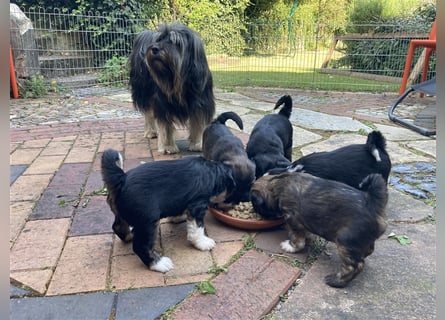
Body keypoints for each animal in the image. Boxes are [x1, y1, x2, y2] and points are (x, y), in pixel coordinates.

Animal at [99, 149, 232, 272]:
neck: (214, 172)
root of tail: (121, 179)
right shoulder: (198, 205)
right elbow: (197, 228)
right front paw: (203, 242)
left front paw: (178, 217)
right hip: (148, 220)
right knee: (140, 246)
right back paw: (158, 263)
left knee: (117, 227)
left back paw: (130, 235)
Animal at [127, 22, 214, 154]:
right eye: (159, 39)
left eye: (174, 41)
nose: (154, 48)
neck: (178, 80)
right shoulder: (162, 103)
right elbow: (166, 126)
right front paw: (168, 146)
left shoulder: (200, 102)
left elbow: (197, 123)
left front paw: (197, 144)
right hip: (144, 93)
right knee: (148, 114)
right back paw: (150, 131)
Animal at [251, 172, 386, 288]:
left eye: (256, 205)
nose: (258, 215)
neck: (278, 183)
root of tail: (373, 205)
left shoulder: (293, 220)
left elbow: (297, 240)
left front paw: (290, 246)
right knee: (368, 251)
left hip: (346, 243)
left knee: (354, 266)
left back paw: (336, 281)